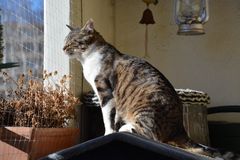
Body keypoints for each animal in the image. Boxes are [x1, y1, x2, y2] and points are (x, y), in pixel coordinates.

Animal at [62, 19, 213, 157]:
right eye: (64, 41)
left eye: (72, 42)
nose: (62, 48)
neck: (87, 58)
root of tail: (179, 128)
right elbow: (115, 117)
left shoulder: (105, 91)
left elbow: (107, 116)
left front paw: (108, 133)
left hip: (146, 107)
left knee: (152, 136)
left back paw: (126, 128)